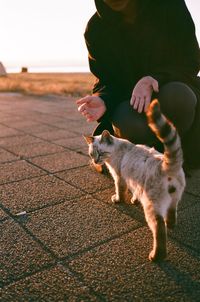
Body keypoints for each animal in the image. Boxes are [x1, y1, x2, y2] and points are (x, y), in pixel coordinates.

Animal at [83, 99, 185, 262]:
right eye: (92, 154)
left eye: (101, 153)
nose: (96, 161)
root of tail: (167, 165)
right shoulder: (135, 183)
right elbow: (134, 193)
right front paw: (134, 200)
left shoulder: (119, 178)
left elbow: (120, 191)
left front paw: (118, 200)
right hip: (173, 200)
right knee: (171, 213)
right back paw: (171, 225)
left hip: (151, 207)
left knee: (159, 229)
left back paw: (156, 256)